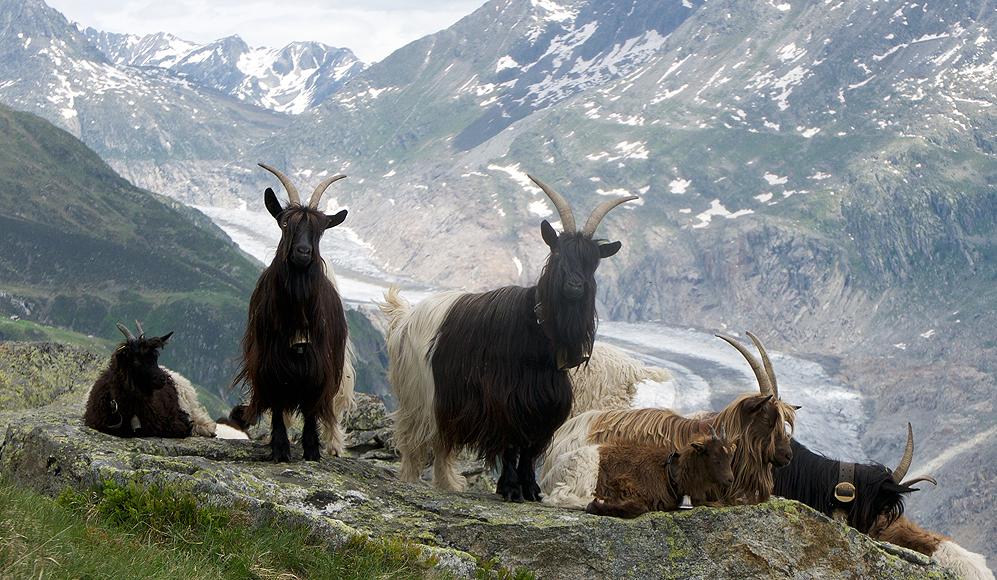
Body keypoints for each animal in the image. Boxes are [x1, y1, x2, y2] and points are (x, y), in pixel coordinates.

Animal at [588, 432, 736, 520]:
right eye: (715, 457)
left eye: (730, 456)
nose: (730, 480)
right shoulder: (629, 486)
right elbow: (637, 507)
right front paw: (596, 505)